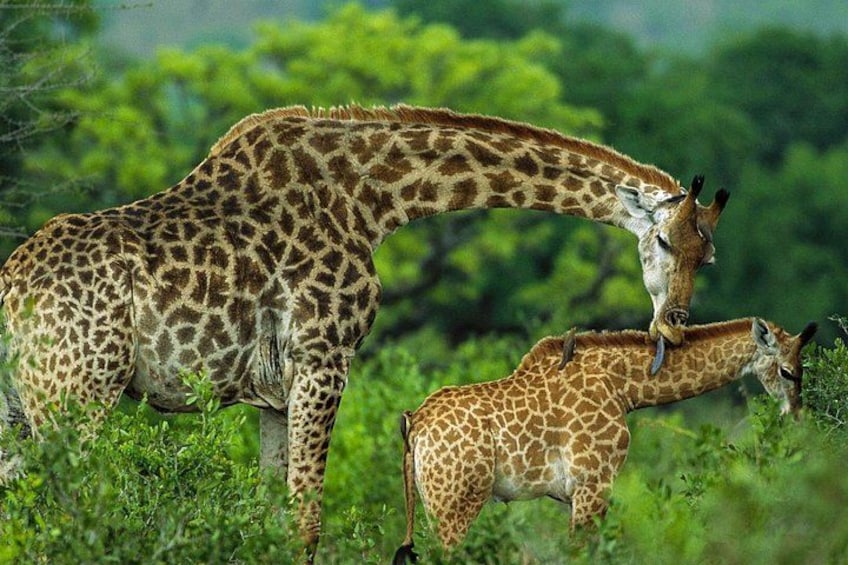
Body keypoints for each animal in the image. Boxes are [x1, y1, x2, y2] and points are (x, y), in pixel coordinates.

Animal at [0, 105, 728, 554]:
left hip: (23, 406)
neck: (374, 200)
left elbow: (272, 516)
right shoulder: (324, 357)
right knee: (67, 512)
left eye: (709, 256)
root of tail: (9, 293)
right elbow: (307, 522)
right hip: (75, 397)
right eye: (664, 239)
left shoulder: (274, 392)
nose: (673, 325)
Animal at [392, 318, 818, 561]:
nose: (797, 417)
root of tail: (414, 423)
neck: (623, 387)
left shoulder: (574, 494)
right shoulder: (593, 482)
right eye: (788, 371)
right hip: (456, 502)